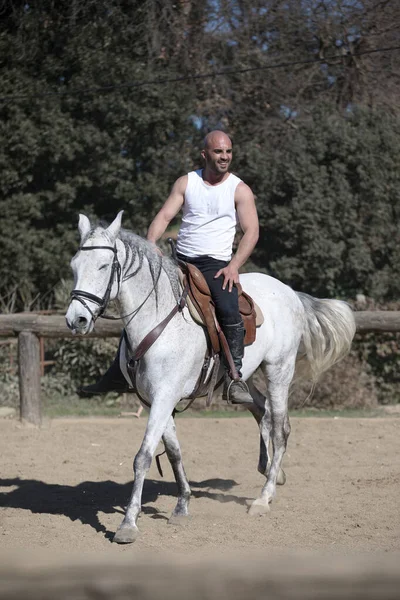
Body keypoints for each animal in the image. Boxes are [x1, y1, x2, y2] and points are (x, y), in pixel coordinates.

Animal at [65, 211, 356, 544]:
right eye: (74, 266)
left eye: (103, 266)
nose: (76, 320)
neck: (157, 319)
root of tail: (290, 292)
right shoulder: (156, 400)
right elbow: (174, 453)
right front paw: (182, 506)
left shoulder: (164, 397)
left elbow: (143, 456)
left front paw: (128, 524)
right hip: (243, 378)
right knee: (262, 410)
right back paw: (272, 470)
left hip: (279, 370)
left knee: (281, 428)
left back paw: (263, 497)